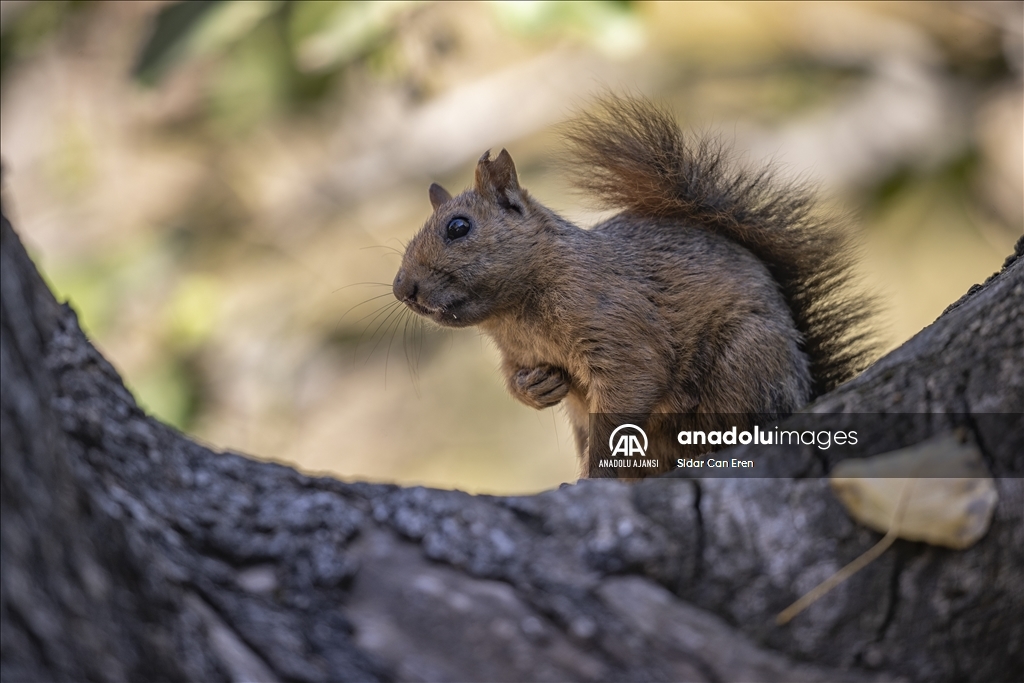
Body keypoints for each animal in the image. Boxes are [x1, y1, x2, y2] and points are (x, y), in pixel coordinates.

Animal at [387, 97, 876, 481]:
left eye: (458, 227)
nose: (401, 288)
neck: (516, 315)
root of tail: (806, 385)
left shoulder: (620, 328)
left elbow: (629, 392)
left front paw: (593, 477)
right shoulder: (518, 354)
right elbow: (517, 380)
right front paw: (535, 386)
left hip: (743, 364)